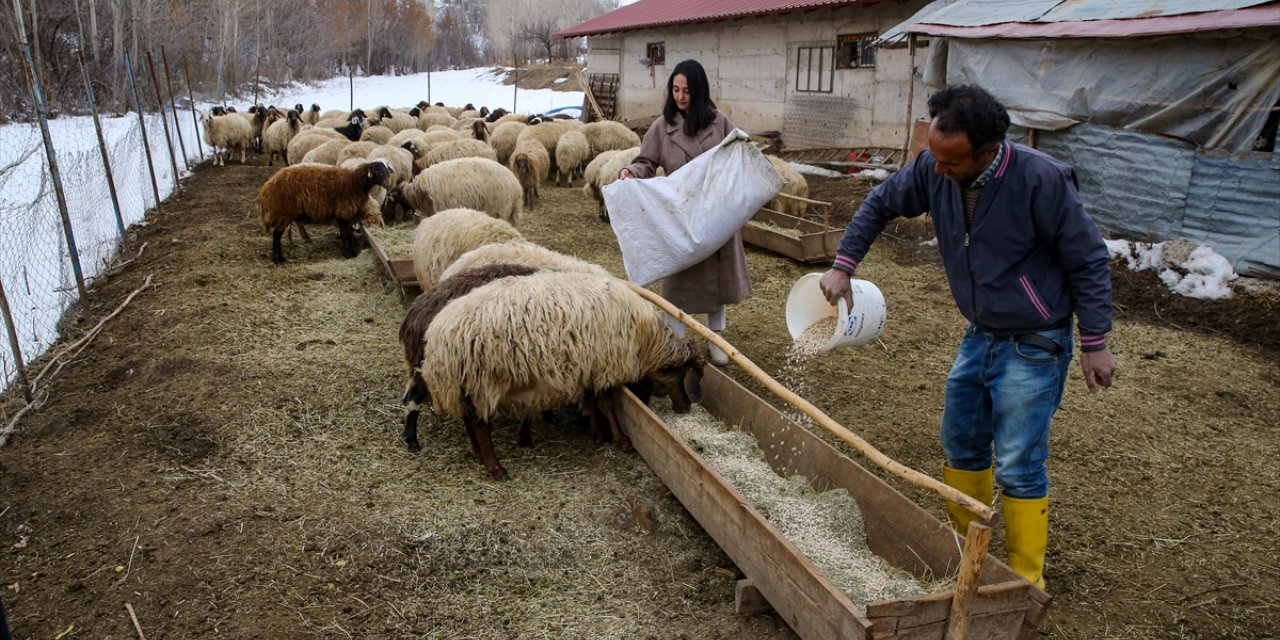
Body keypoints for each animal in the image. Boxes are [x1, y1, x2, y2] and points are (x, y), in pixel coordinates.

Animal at [250, 160, 386, 264]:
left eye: (385, 170)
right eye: (377, 171)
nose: (386, 182)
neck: (354, 183)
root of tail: (265, 190)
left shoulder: (347, 214)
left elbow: (349, 233)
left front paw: (352, 250)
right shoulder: (342, 212)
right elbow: (345, 234)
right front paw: (347, 253)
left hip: (284, 214)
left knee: (277, 235)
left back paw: (281, 258)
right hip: (283, 213)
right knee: (276, 236)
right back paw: (277, 259)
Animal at [419, 267, 706, 478]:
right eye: (683, 374)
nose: (685, 407)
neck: (646, 341)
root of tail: (438, 336)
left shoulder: (588, 367)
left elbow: (592, 402)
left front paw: (596, 433)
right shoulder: (607, 366)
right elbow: (608, 405)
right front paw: (620, 439)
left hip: (467, 382)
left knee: (469, 420)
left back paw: (479, 454)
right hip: (484, 379)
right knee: (480, 424)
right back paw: (495, 467)